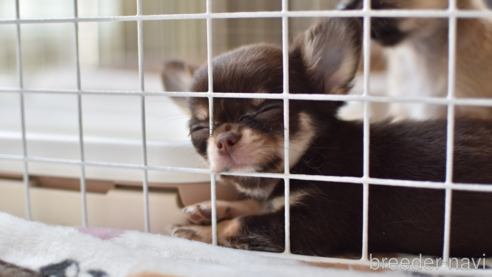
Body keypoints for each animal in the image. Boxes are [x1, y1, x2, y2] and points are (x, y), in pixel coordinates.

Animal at [163, 17, 492, 256]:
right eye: (199, 129)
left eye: (268, 109)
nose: (223, 138)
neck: (314, 153)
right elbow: (256, 205)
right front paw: (210, 207)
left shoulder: (309, 225)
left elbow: (240, 224)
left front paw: (203, 231)